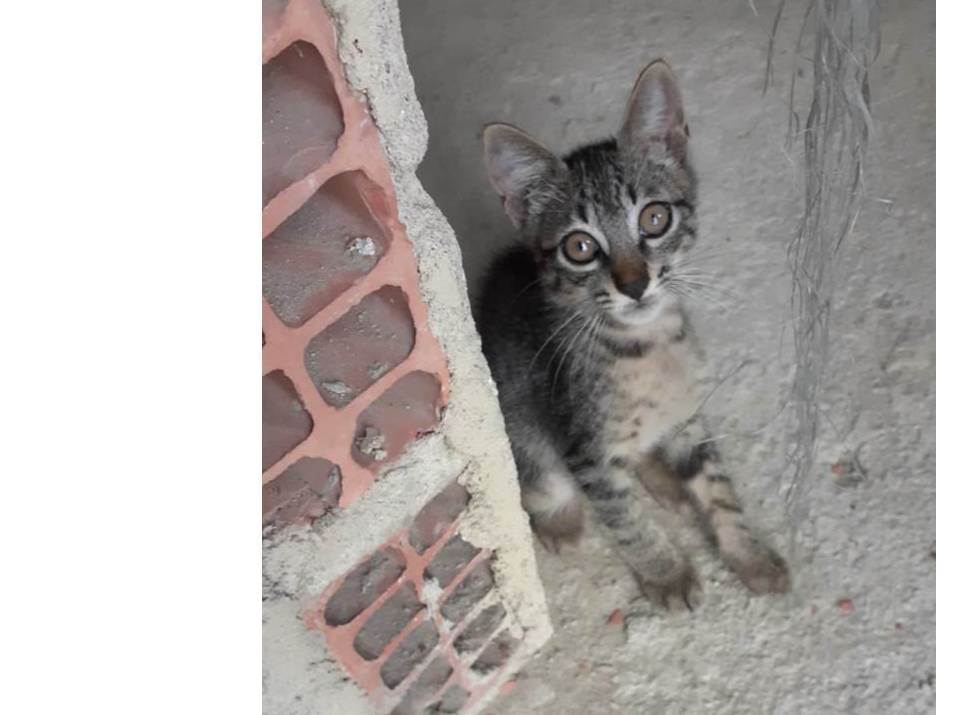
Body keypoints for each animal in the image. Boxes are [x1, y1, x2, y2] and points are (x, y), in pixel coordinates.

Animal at [476, 59, 789, 611]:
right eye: (580, 247)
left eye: (654, 218)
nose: (635, 283)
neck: (649, 348)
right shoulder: (586, 452)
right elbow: (625, 520)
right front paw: (667, 572)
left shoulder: (688, 417)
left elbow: (718, 488)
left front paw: (749, 554)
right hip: (523, 426)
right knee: (542, 480)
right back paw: (561, 519)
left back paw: (665, 481)